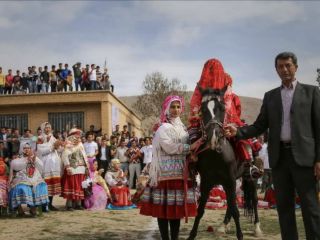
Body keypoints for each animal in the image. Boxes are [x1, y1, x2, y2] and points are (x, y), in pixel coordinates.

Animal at [188, 86, 262, 240]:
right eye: (203, 109)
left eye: (222, 108)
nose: (214, 136)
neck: (217, 155)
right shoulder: (207, 182)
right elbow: (200, 210)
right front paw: (191, 235)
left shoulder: (230, 181)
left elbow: (236, 210)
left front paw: (240, 235)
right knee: (230, 203)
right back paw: (224, 225)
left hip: (250, 178)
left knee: (254, 199)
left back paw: (257, 227)